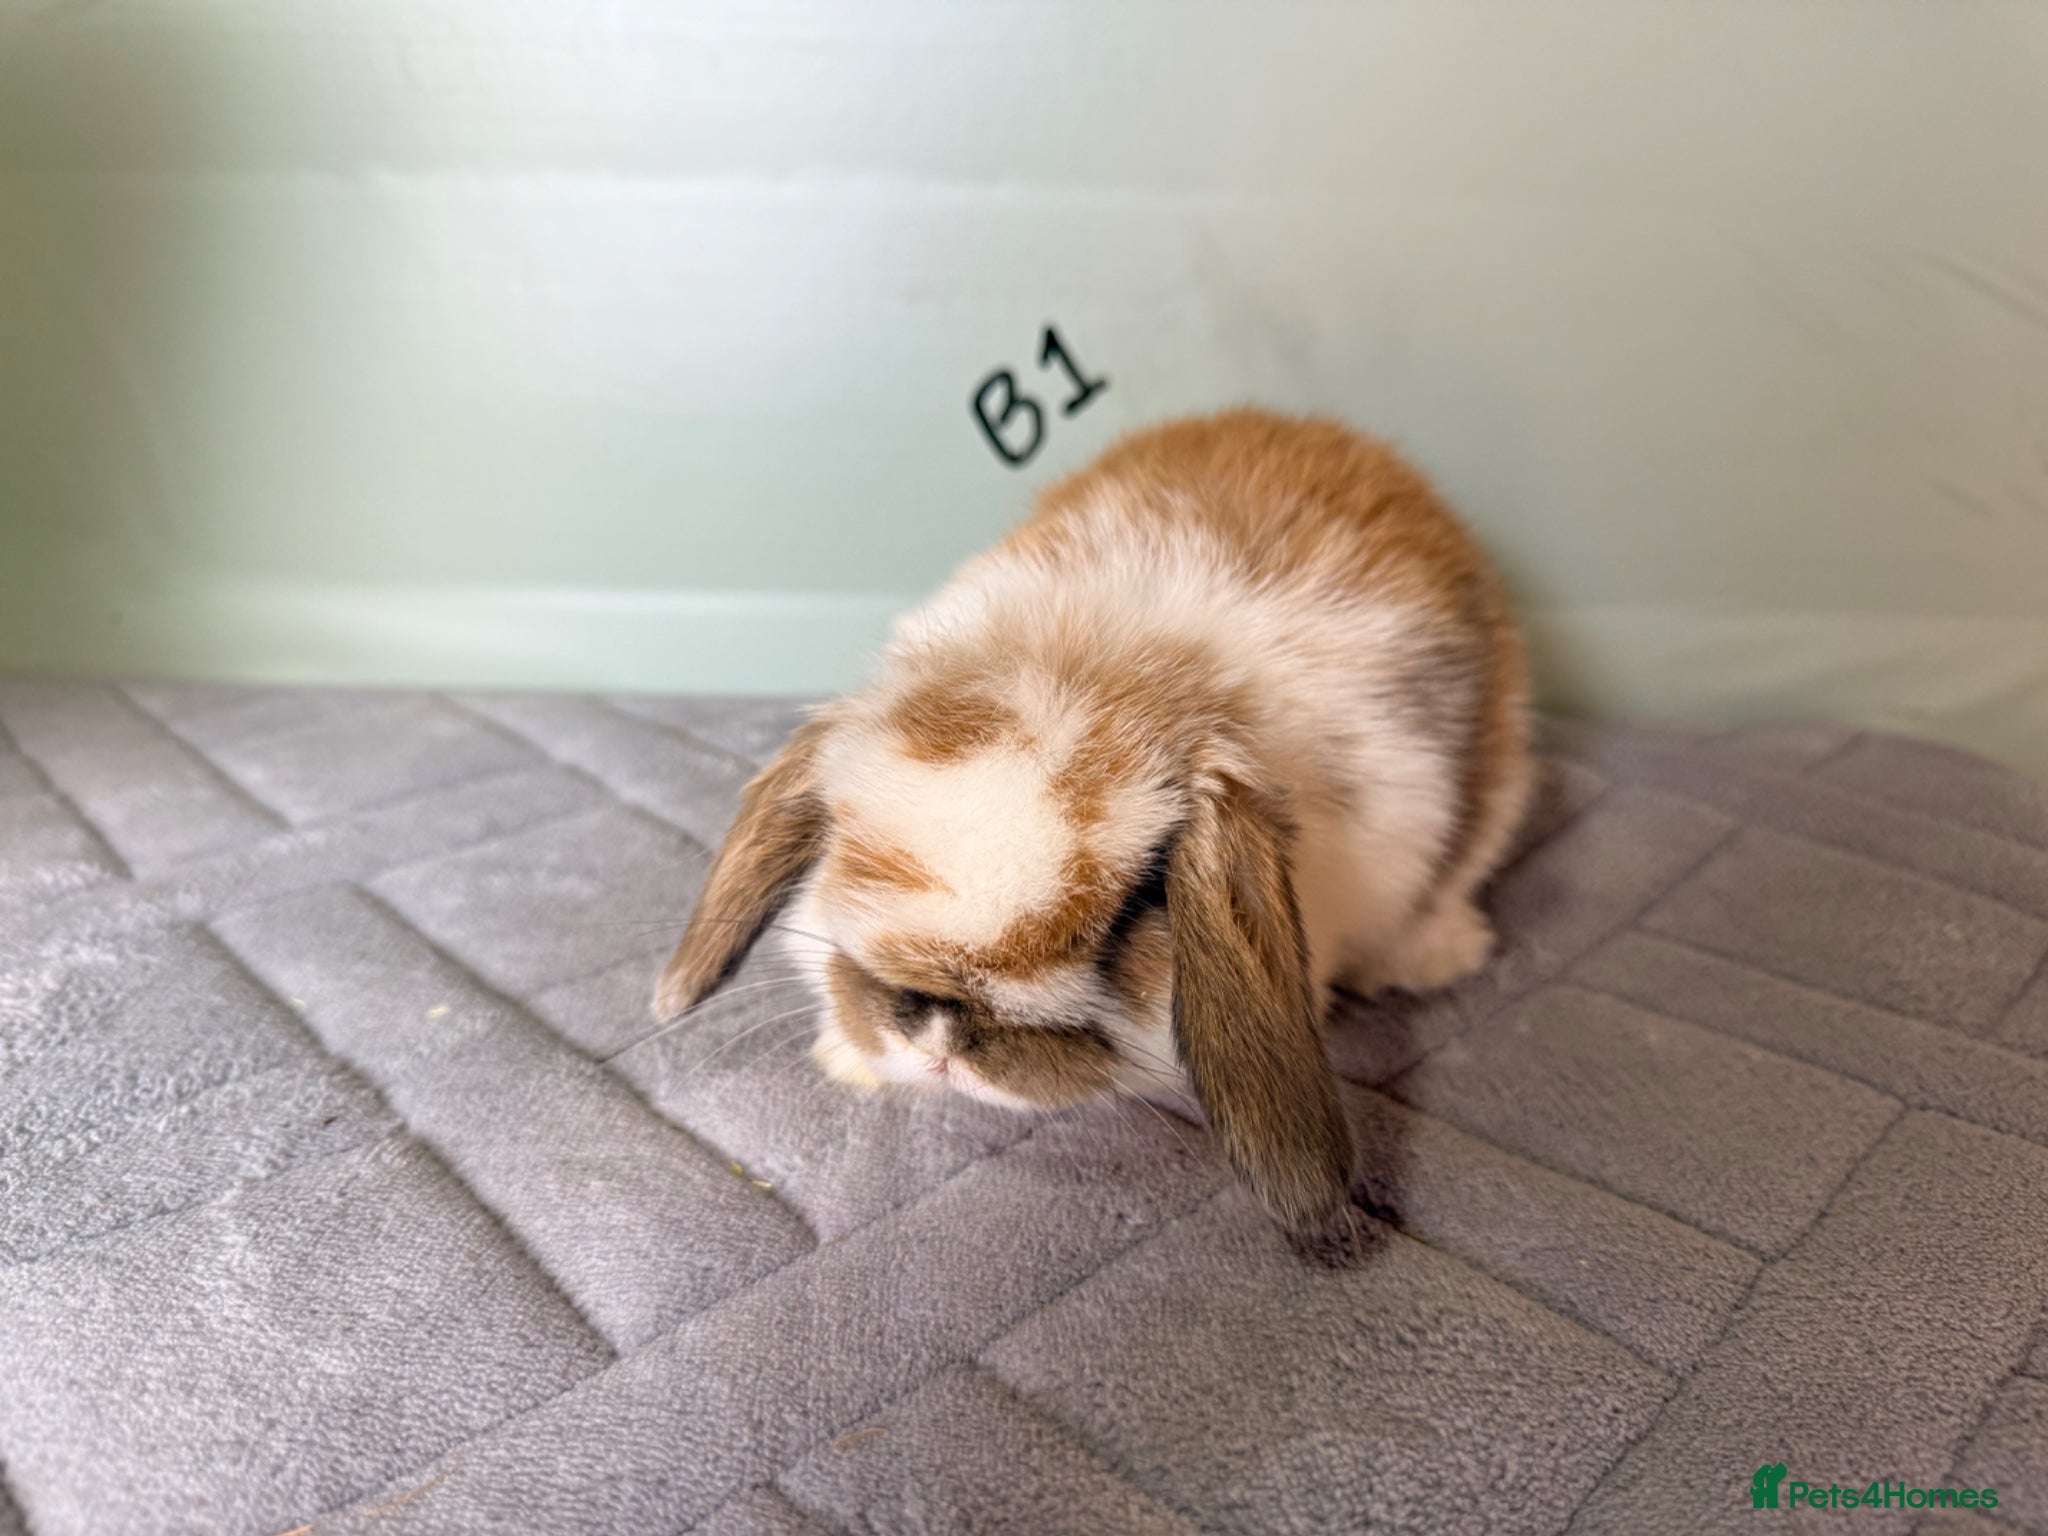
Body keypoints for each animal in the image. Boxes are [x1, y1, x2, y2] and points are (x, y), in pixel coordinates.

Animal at [654, 407, 1532, 1256]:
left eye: (1135, 907)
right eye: (836, 840)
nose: (939, 1036)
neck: (1100, 657)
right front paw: (849, 1063)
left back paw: (1439, 954)